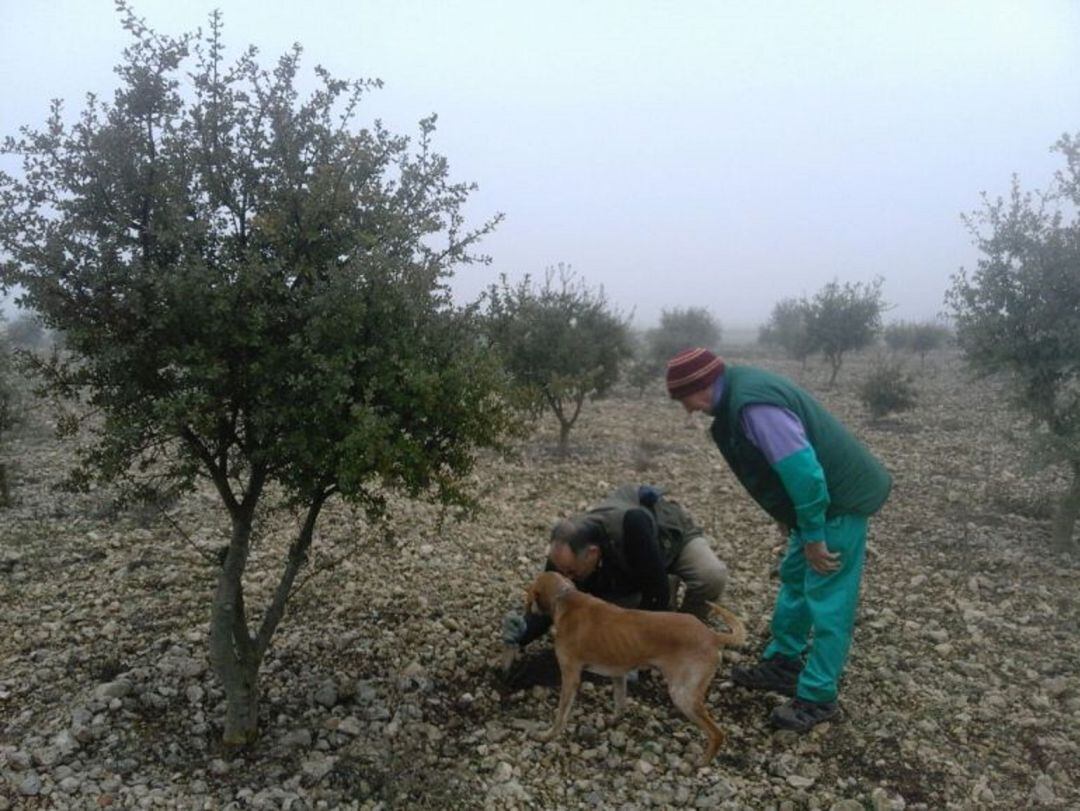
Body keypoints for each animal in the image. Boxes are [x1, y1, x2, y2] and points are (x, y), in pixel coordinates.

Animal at [520, 565, 743, 764]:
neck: (564, 597)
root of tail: (712, 636)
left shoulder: (570, 676)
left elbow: (561, 715)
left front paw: (547, 735)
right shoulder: (618, 674)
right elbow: (620, 703)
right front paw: (612, 721)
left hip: (683, 695)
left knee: (717, 733)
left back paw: (702, 762)